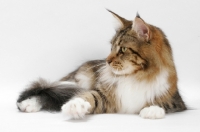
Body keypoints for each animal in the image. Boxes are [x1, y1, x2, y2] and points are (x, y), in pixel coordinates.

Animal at [16, 10, 186, 119]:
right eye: (111, 47)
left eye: (123, 49)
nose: (107, 61)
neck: (136, 77)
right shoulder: (105, 96)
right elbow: (89, 97)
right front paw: (75, 106)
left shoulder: (176, 101)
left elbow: (163, 103)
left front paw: (152, 110)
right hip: (76, 82)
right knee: (51, 90)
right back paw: (28, 104)